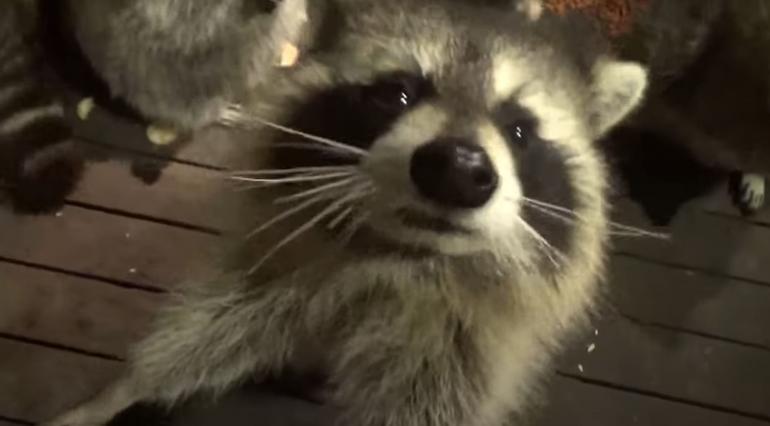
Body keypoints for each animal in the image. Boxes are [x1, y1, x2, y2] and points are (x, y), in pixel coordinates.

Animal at [44, 1, 647, 425]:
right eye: (398, 93)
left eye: (520, 130)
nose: (459, 168)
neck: (401, 259)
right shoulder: (281, 266)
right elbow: (208, 329)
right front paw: (124, 388)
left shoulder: (461, 351)